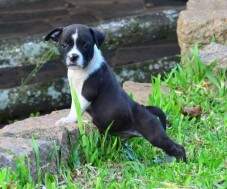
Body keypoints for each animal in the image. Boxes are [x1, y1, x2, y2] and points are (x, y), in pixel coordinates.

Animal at [44, 24, 186, 162]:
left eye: (85, 45)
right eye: (64, 45)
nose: (73, 56)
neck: (81, 70)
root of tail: (147, 110)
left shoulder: (87, 92)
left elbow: (76, 109)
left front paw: (67, 120)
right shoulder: (75, 92)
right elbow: (75, 106)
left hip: (154, 135)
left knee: (178, 148)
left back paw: (181, 162)